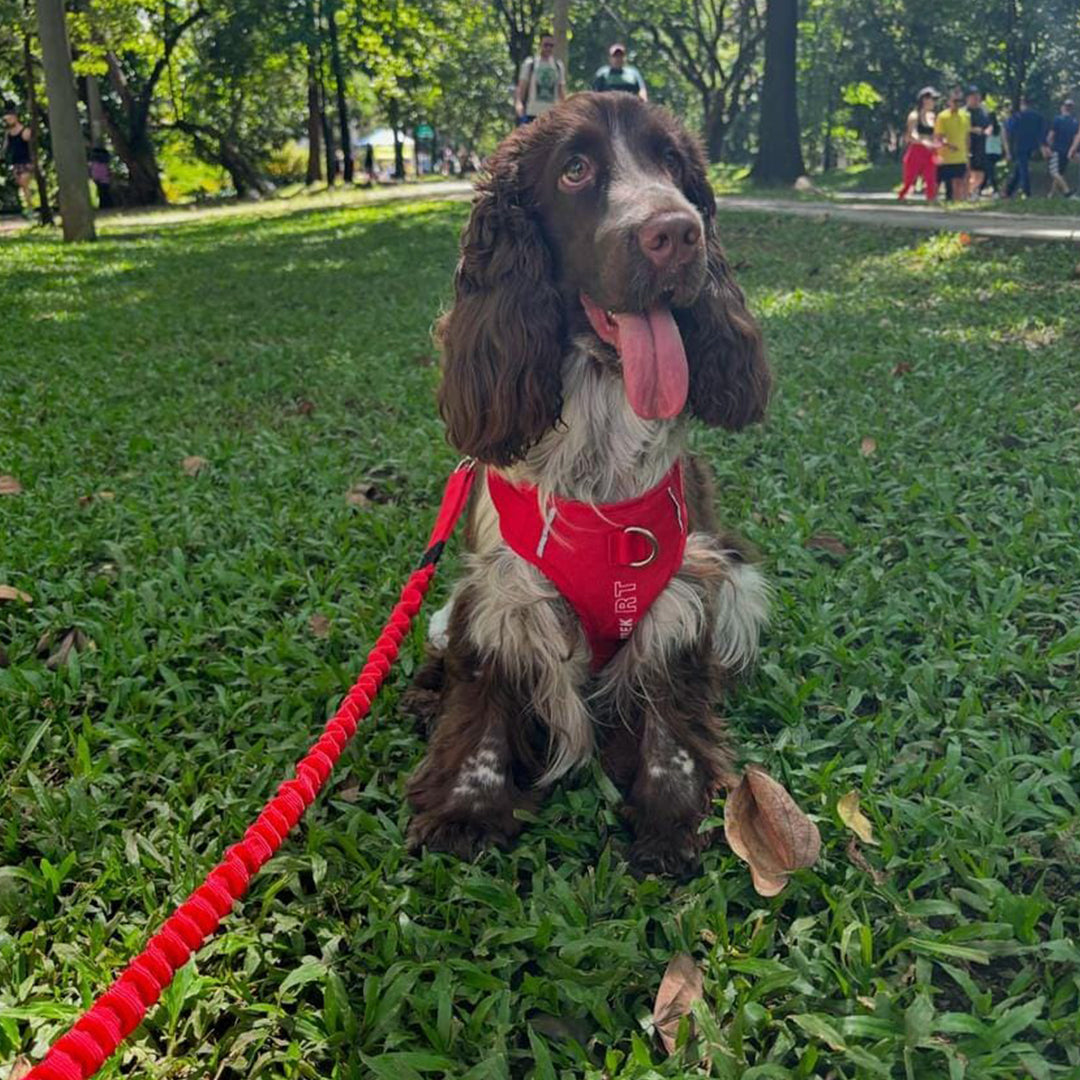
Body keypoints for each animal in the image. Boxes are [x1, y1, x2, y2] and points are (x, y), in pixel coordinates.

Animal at [403, 95, 768, 876]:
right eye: (574, 169)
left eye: (673, 163)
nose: (677, 234)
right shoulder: (499, 592)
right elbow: (484, 697)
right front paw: (466, 811)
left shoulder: (679, 589)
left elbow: (666, 710)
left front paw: (670, 821)